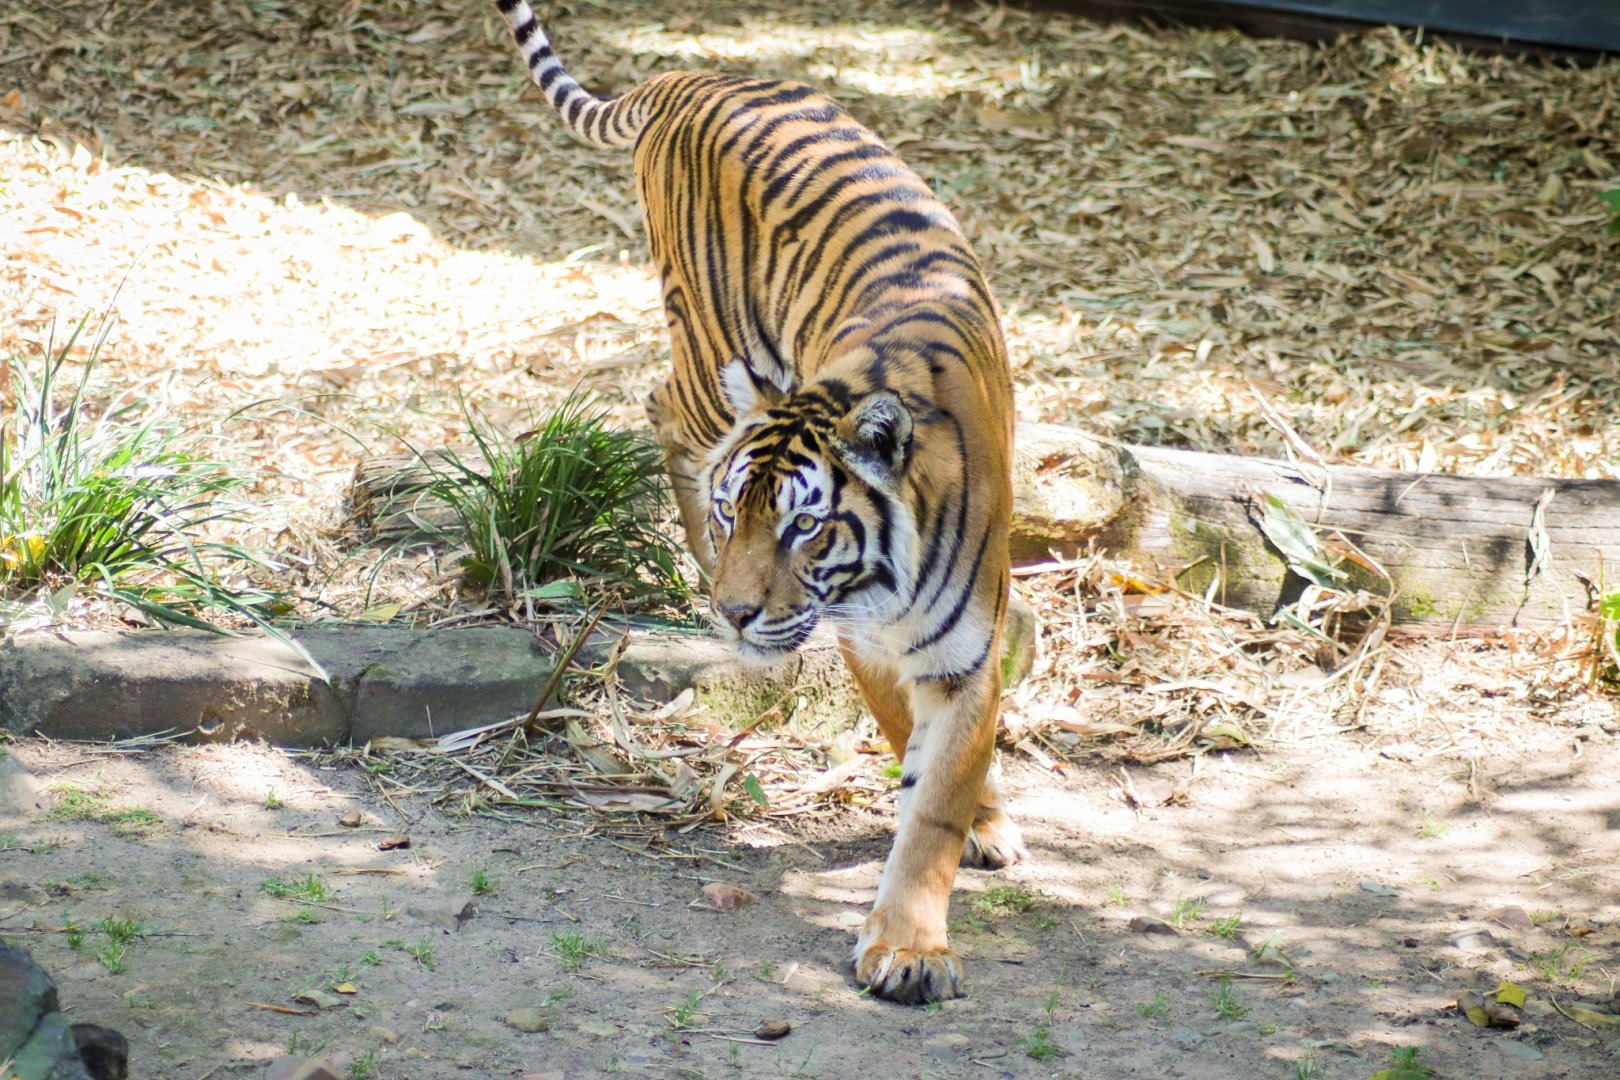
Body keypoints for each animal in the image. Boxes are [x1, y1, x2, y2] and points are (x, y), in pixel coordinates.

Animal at [492, 0, 1024, 1004]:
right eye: (736, 513)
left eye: (804, 526)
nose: (736, 614)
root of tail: (691, 78)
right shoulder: (864, 641)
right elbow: (905, 741)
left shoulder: (965, 656)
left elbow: (935, 805)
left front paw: (916, 933)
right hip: (708, 351)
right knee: (662, 406)